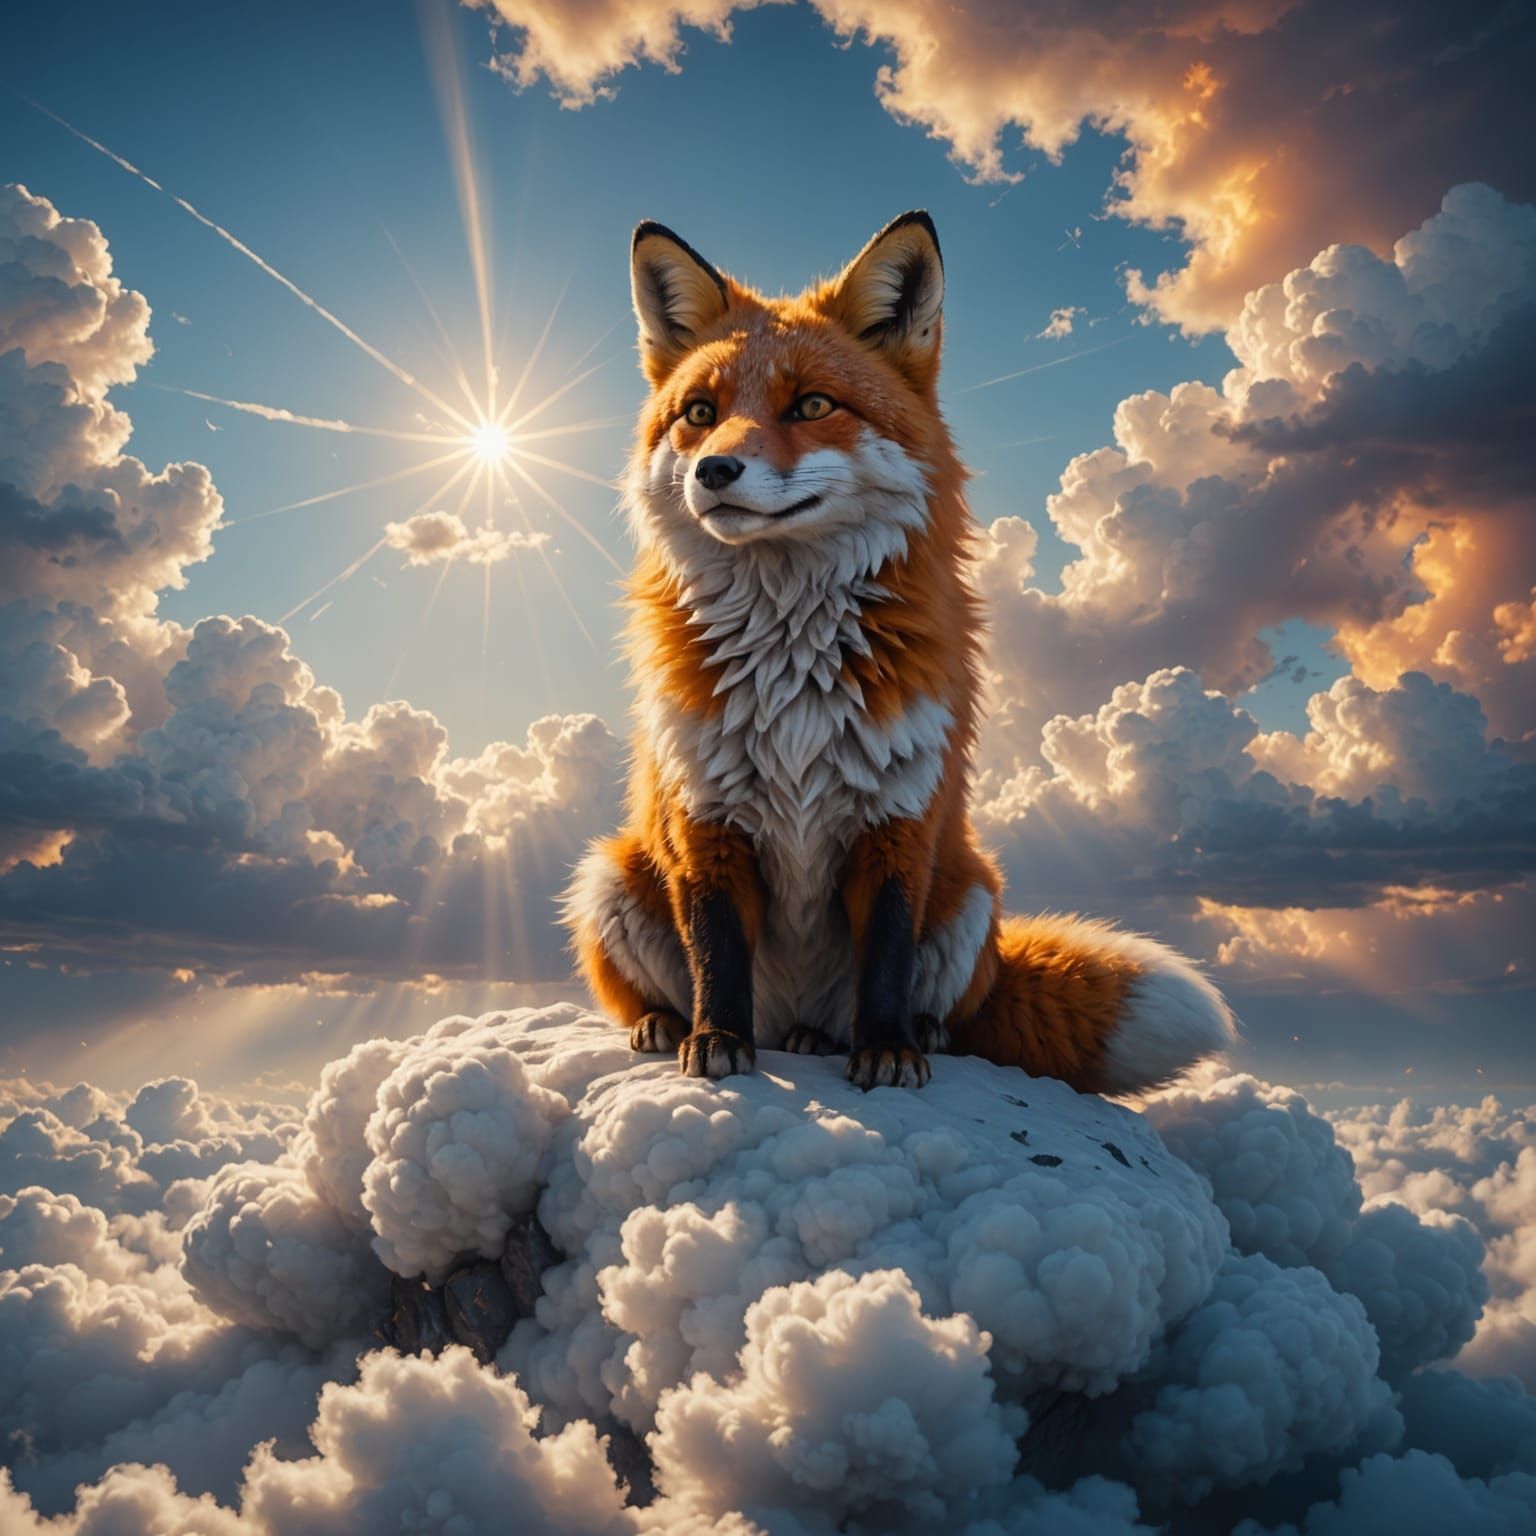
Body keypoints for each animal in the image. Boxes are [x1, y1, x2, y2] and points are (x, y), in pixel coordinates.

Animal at [564, 211, 1237, 1093]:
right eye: (701, 412)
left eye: (813, 404)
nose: (713, 471)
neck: (791, 659)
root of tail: (791, 1021)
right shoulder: (702, 817)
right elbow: (716, 951)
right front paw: (715, 1040)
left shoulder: (898, 816)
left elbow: (884, 956)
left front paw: (885, 1050)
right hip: (614, 871)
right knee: (681, 992)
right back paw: (668, 1023)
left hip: (971, 893)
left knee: (931, 1007)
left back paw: (898, 1036)